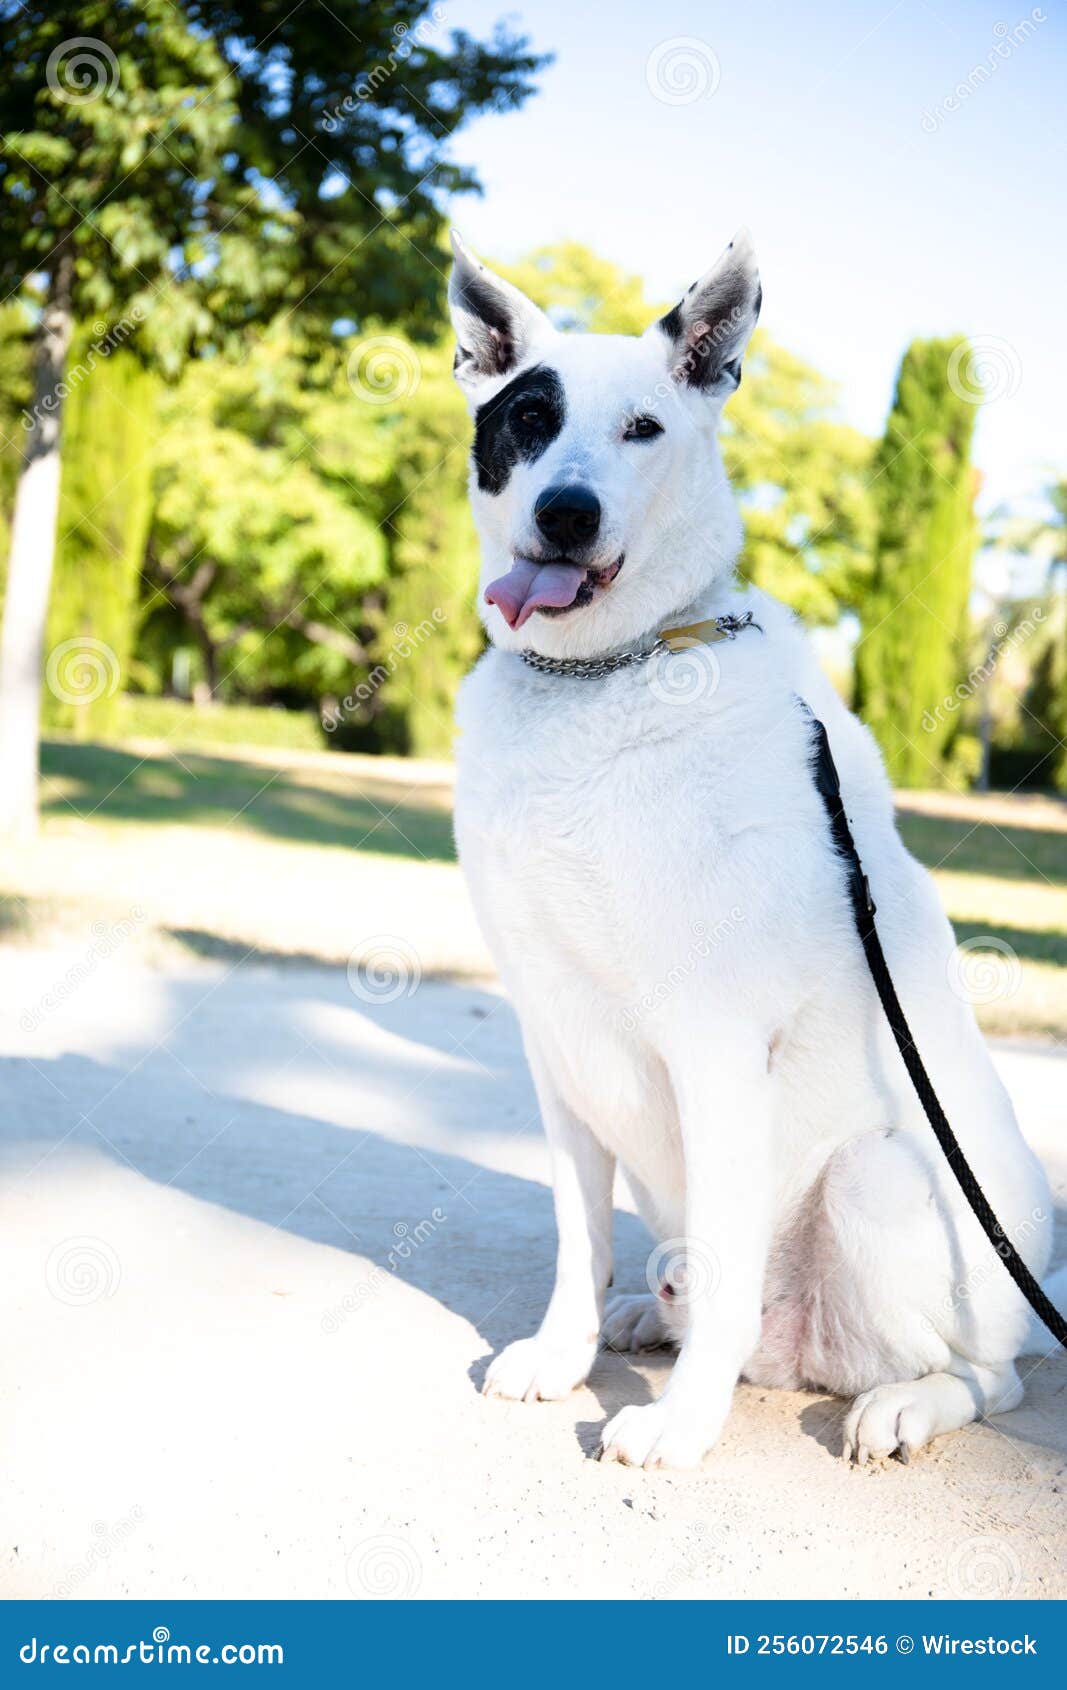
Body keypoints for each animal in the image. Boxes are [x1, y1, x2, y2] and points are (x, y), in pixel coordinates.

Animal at [449, 224, 1061, 1466]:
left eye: (643, 428)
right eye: (529, 416)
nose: (567, 512)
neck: (602, 677)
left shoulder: (715, 1042)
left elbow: (726, 1261)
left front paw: (682, 1426)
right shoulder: (550, 1042)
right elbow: (575, 1235)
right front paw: (561, 1353)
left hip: (883, 1181)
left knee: (986, 1376)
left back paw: (897, 1404)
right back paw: (647, 1318)